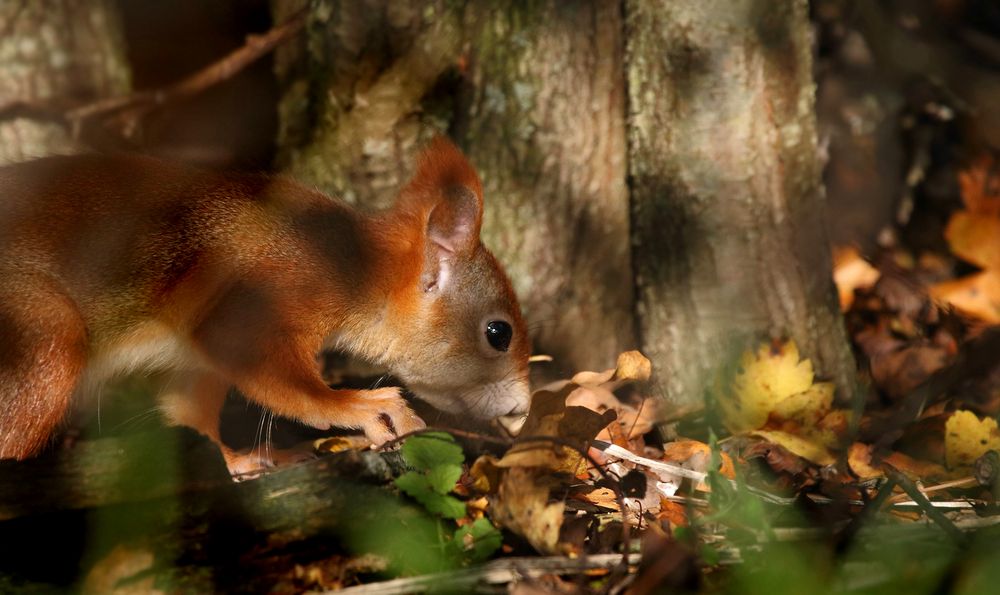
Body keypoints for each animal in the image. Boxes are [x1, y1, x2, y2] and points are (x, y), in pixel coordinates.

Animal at [0, 137, 532, 472]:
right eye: (498, 333)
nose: (521, 408)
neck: (355, 269)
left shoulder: (195, 364)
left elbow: (187, 413)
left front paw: (241, 462)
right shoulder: (262, 296)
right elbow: (282, 381)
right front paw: (364, 407)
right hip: (42, 336)